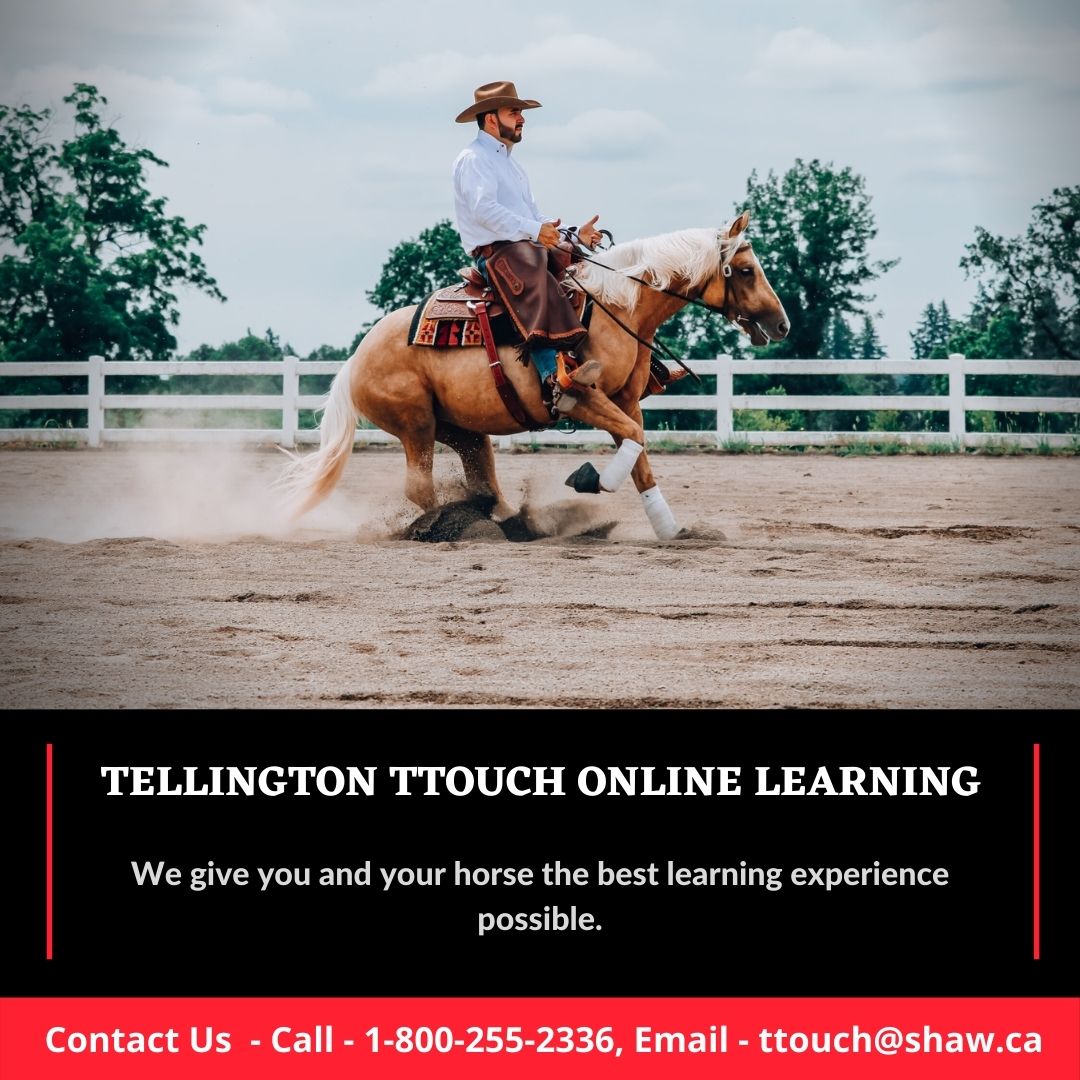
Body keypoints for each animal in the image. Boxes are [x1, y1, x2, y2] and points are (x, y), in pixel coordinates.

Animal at [277, 211, 788, 539]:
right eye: (746, 269)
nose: (781, 325)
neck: (617, 306)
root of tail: (354, 359)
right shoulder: (585, 398)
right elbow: (631, 440)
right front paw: (590, 479)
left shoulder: (626, 401)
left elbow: (640, 455)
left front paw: (672, 530)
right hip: (415, 424)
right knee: (420, 486)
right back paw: (463, 528)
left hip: (461, 430)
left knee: (483, 480)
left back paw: (508, 522)